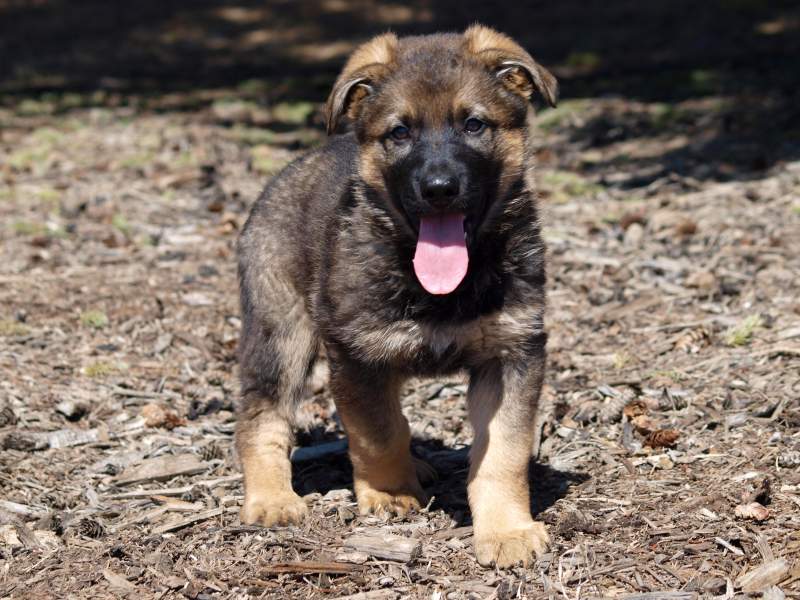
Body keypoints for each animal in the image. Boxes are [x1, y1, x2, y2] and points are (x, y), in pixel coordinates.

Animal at [235, 25, 557, 568]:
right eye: (399, 133)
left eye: (474, 124)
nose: (439, 188)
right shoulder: (357, 354)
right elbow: (377, 431)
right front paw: (389, 493)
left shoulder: (512, 353)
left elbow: (503, 453)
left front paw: (506, 530)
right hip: (281, 333)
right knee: (263, 415)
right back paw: (272, 498)